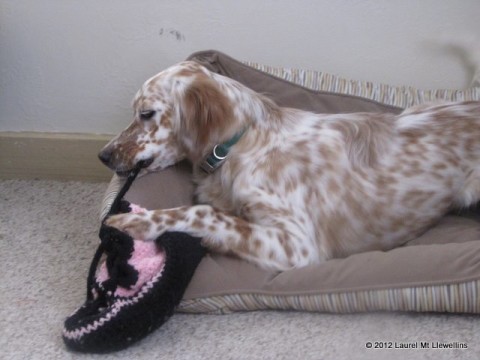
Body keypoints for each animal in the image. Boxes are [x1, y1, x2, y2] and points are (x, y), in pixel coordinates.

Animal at [97, 59, 480, 270]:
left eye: (147, 114)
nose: (103, 155)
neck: (242, 144)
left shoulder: (299, 245)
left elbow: (203, 213)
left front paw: (134, 221)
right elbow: (216, 211)